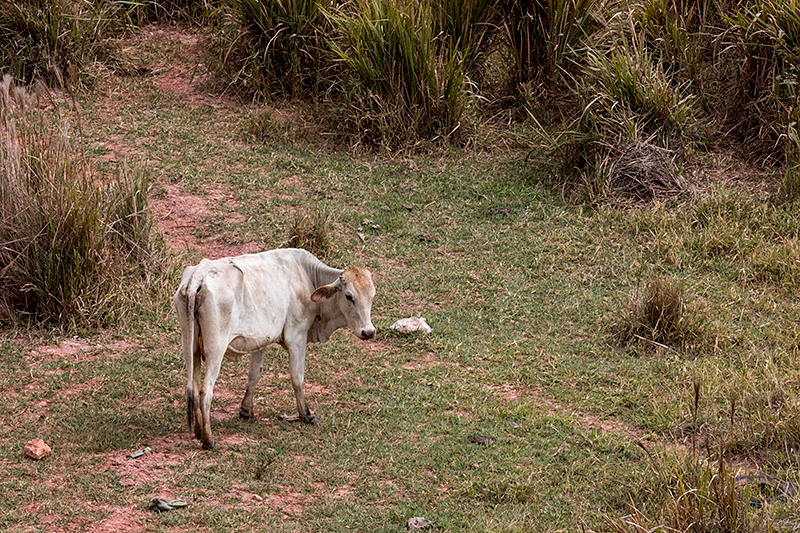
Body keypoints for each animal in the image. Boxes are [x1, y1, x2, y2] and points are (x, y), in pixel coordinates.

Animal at [175, 247, 376, 446]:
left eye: (372, 296)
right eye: (349, 296)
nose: (369, 332)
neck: (306, 275)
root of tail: (199, 276)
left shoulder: (258, 341)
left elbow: (254, 375)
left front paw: (246, 411)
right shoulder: (297, 336)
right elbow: (297, 378)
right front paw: (306, 415)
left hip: (190, 347)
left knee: (193, 386)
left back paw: (199, 431)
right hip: (215, 349)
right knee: (205, 391)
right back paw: (209, 440)